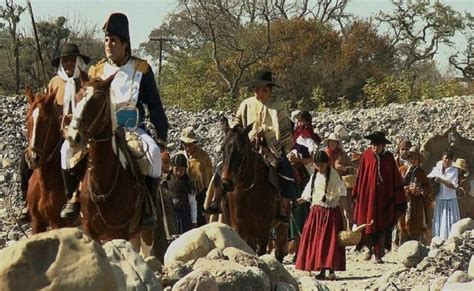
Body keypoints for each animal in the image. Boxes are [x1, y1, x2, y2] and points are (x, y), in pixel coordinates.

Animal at [65, 76, 153, 256]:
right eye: (76, 98)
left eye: (97, 101)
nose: (73, 136)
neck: (102, 184)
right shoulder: (90, 232)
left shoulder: (119, 232)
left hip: (145, 232)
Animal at [219, 120, 288, 262]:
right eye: (222, 149)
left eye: (240, 151)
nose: (226, 183)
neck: (249, 192)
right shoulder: (239, 227)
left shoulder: (264, 230)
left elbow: (261, 253)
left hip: (282, 226)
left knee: (279, 252)